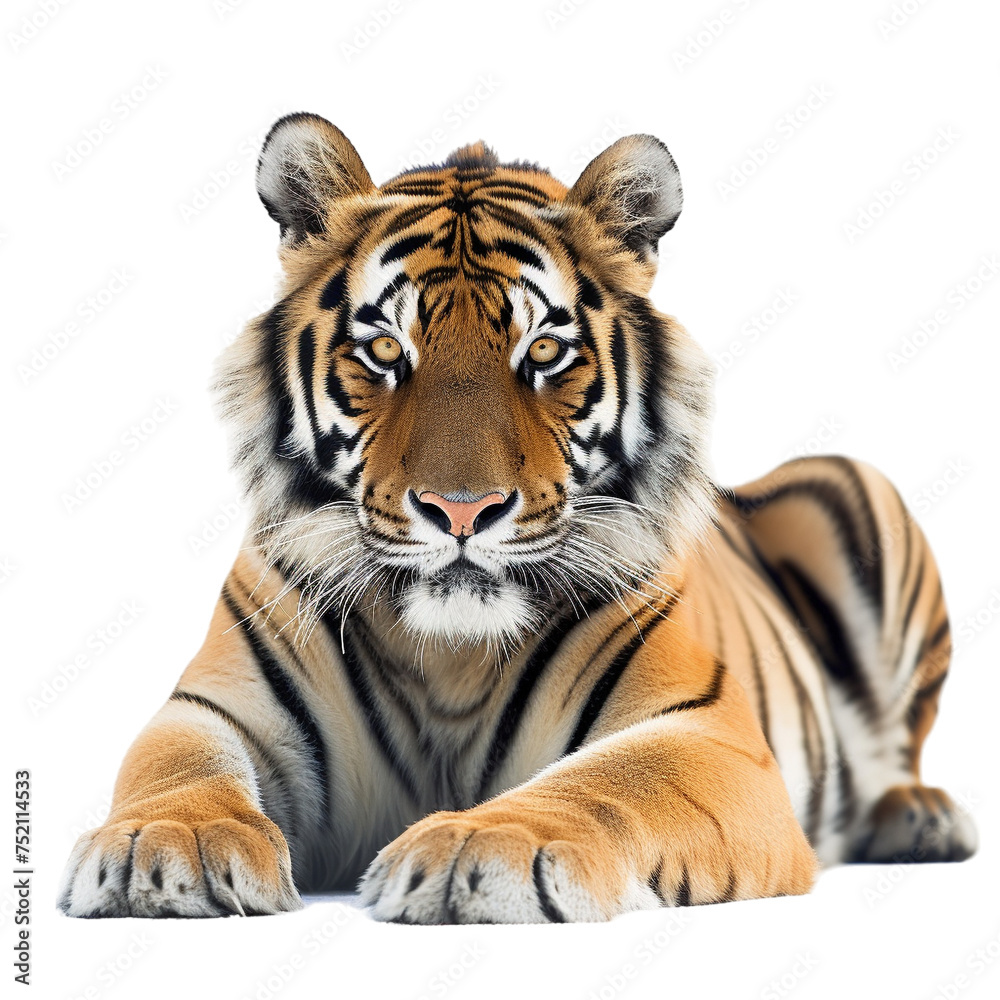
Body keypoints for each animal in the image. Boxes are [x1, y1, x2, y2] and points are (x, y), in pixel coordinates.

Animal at [58, 113, 976, 923]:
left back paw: (922, 818)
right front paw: (161, 847)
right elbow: (179, 766)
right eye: (385, 351)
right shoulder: (215, 705)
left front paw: (483, 847)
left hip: (856, 487)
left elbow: (608, 783)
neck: (450, 657)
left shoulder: (703, 731)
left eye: (542, 352)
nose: (461, 510)